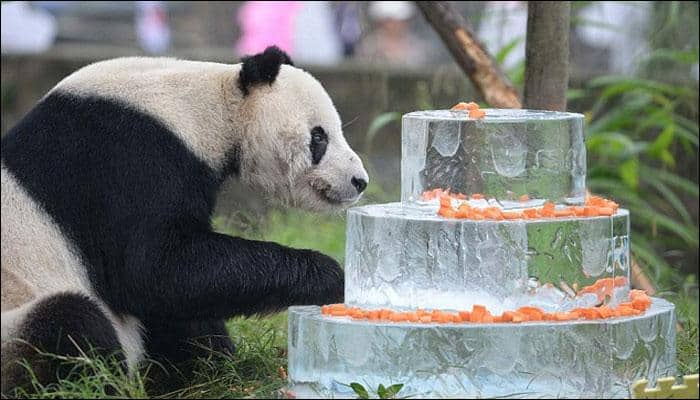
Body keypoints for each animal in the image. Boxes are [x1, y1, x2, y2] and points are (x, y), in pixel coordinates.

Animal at [0, 45, 370, 392]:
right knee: (69, 323)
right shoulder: (127, 157)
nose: (359, 181)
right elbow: (156, 269)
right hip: (16, 323)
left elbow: (183, 292)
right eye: (319, 137)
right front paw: (331, 276)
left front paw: (213, 360)